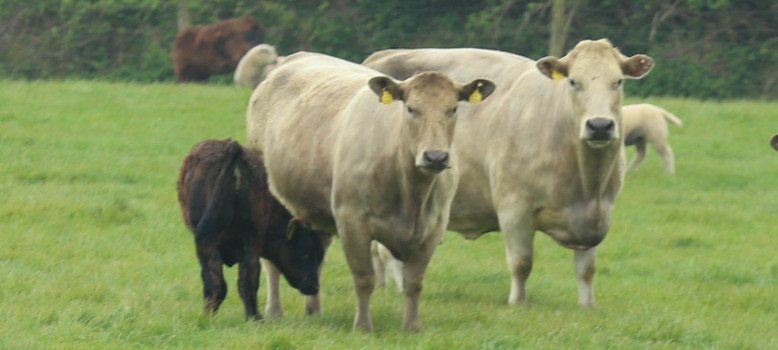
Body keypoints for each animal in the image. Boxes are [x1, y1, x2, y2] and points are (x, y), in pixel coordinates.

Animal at [246, 51, 494, 330]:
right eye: (411, 108)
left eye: (453, 109)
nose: (436, 157)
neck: (412, 192)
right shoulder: (351, 219)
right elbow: (364, 278)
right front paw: (363, 326)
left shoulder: (434, 227)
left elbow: (414, 283)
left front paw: (412, 327)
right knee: (272, 261)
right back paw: (275, 311)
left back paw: (314, 310)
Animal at [360, 38, 652, 306]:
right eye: (573, 82)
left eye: (618, 82)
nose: (600, 125)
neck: (586, 182)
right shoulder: (514, 208)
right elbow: (522, 263)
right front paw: (517, 304)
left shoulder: (598, 215)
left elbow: (587, 270)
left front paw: (587, 306)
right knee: (387, 252)